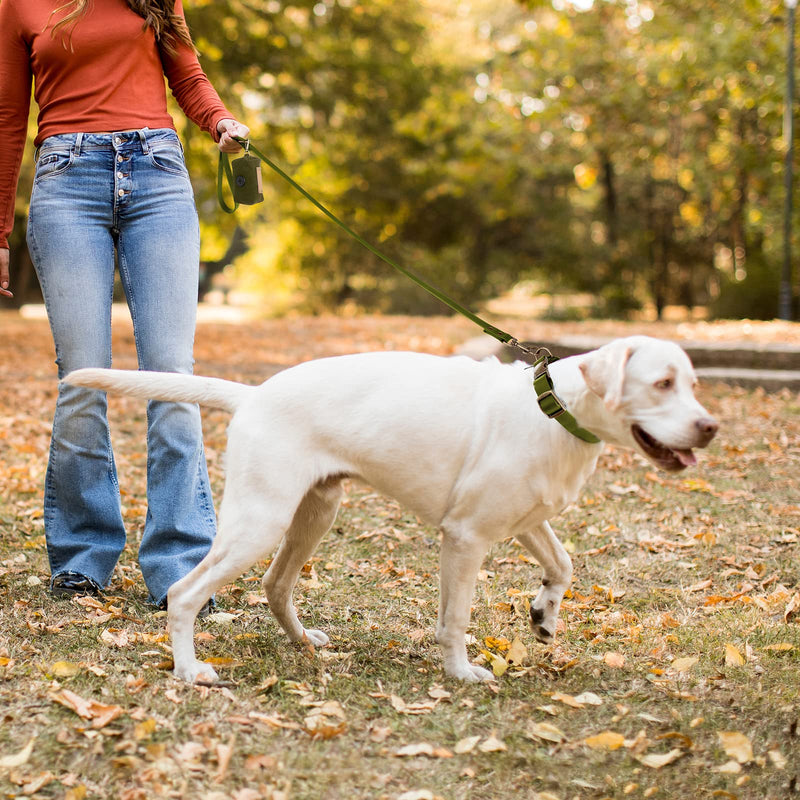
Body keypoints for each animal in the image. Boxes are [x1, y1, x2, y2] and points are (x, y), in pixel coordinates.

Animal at [67, 336, 720, 680]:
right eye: (662, 383)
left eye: (691, 383)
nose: (710, 427)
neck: (555, 410)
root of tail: (253, 395)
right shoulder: (466, 538)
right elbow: (455, 619)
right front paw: (461, 674)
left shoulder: (525, 521)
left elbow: (564, 565)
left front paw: (544, 615)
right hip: (260, 522)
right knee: (184, 593)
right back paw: (189, 670)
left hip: (314, 513)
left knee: (276, 586)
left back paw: (304, 644)